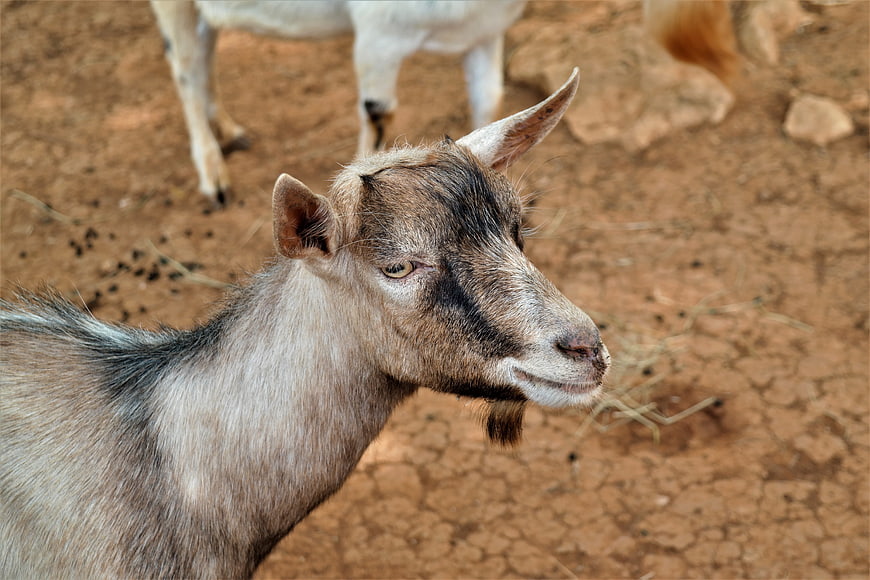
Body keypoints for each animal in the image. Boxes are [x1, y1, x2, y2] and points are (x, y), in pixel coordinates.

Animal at [149, 0, 526, 205]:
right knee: (184, 68)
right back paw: (214, 175)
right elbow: (379, 124)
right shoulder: (379, 39)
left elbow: (489, 101)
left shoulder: (485, 32)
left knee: (205, 51)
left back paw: (229, 130)